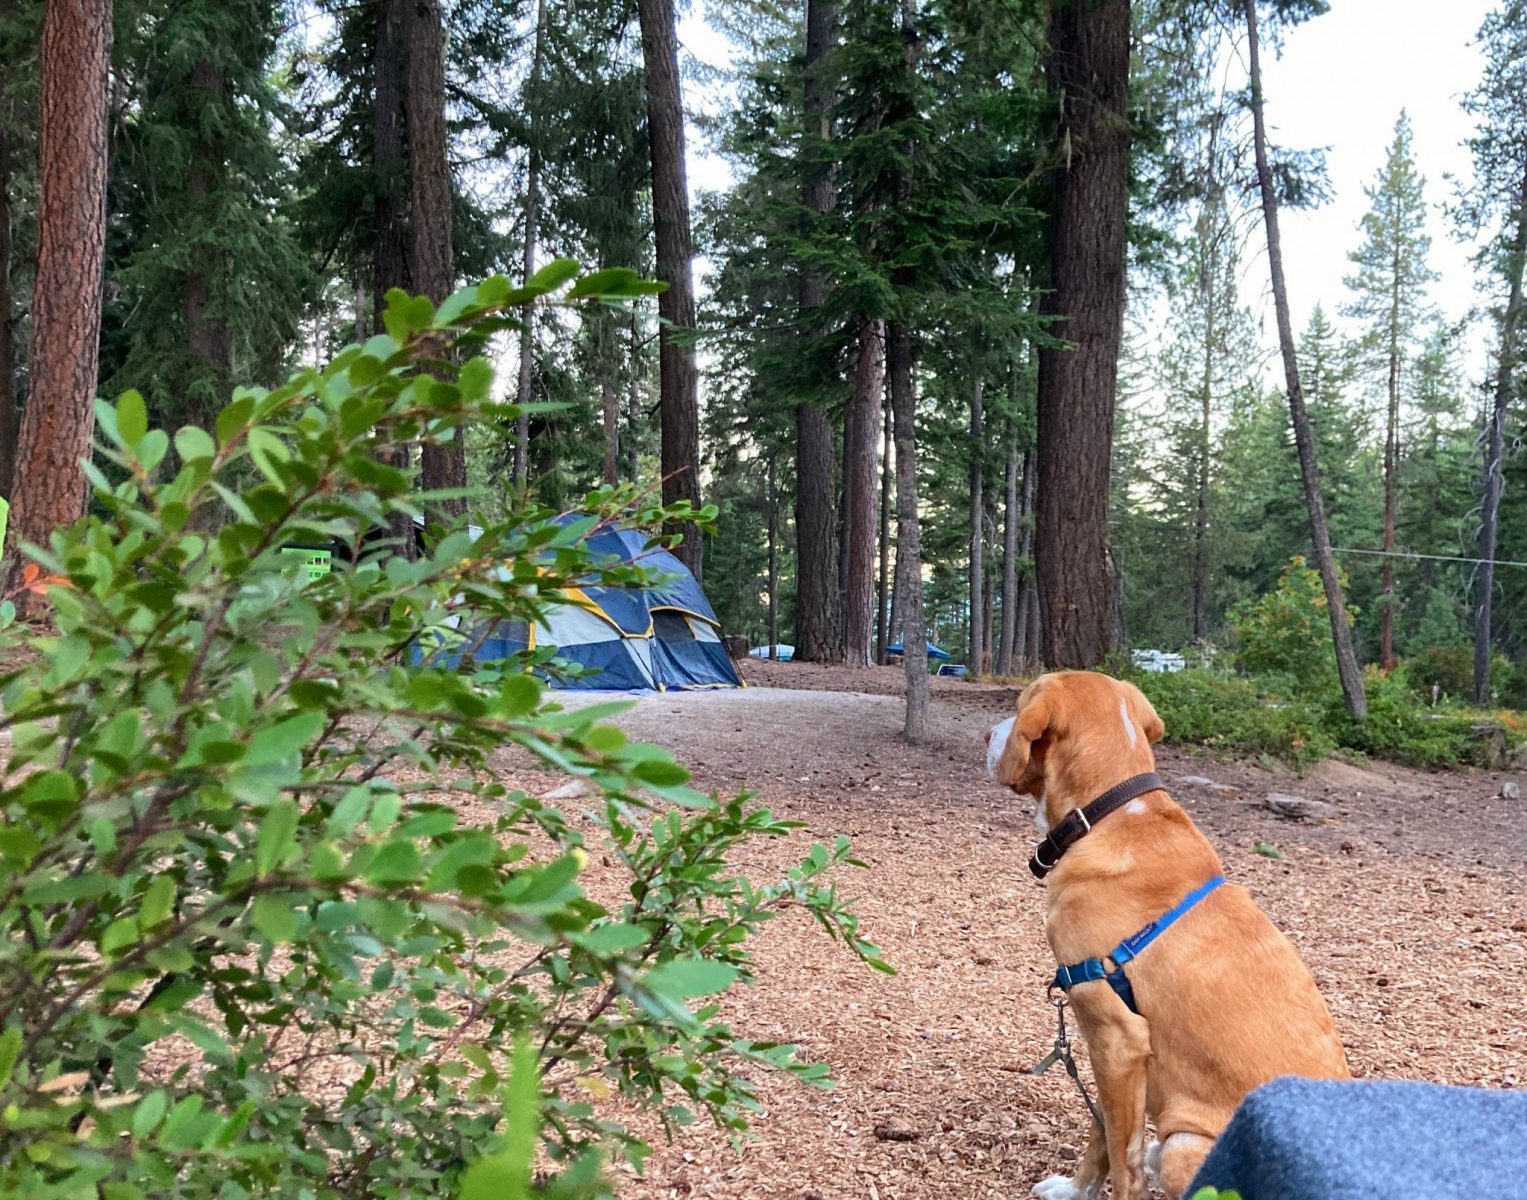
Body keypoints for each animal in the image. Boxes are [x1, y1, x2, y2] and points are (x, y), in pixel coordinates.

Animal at [983, 671, 1343, 1196]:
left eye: (1019, 704)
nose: (987, 735)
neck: (1113, 813)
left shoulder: (1115, 1034)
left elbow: (1121, 1157)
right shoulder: (1120, 1050)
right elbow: (1102, 1135)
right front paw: (1075, 1190)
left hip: (1183, 1146)